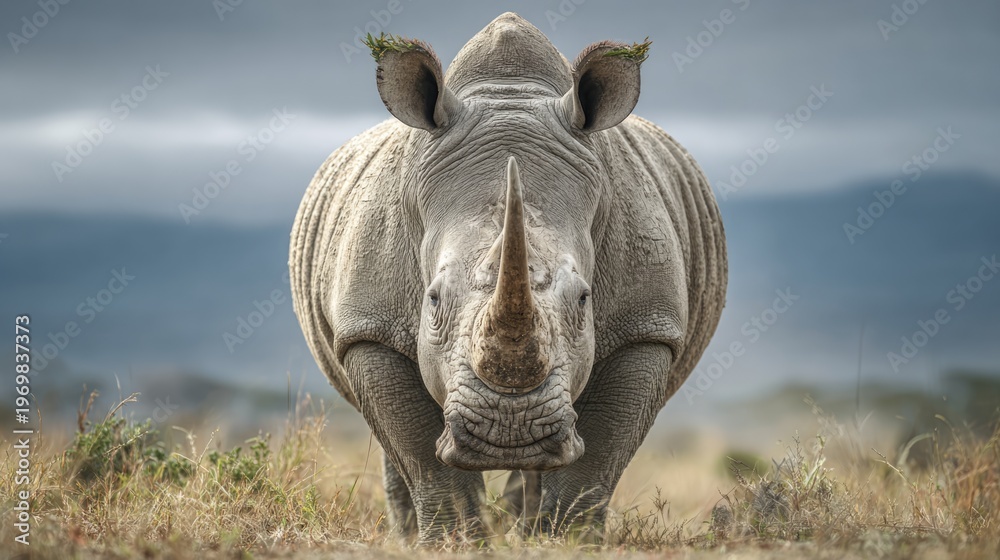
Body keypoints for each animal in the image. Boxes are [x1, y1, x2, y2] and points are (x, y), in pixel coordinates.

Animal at [290, 12, 727, 543]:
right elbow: (420, 455)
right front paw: (454, 542)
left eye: (584, 300)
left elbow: (597, 460)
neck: (509, 93)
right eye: (432, 300)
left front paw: (568, 541)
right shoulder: (369, 327)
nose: (510, 430)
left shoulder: (646, 329)